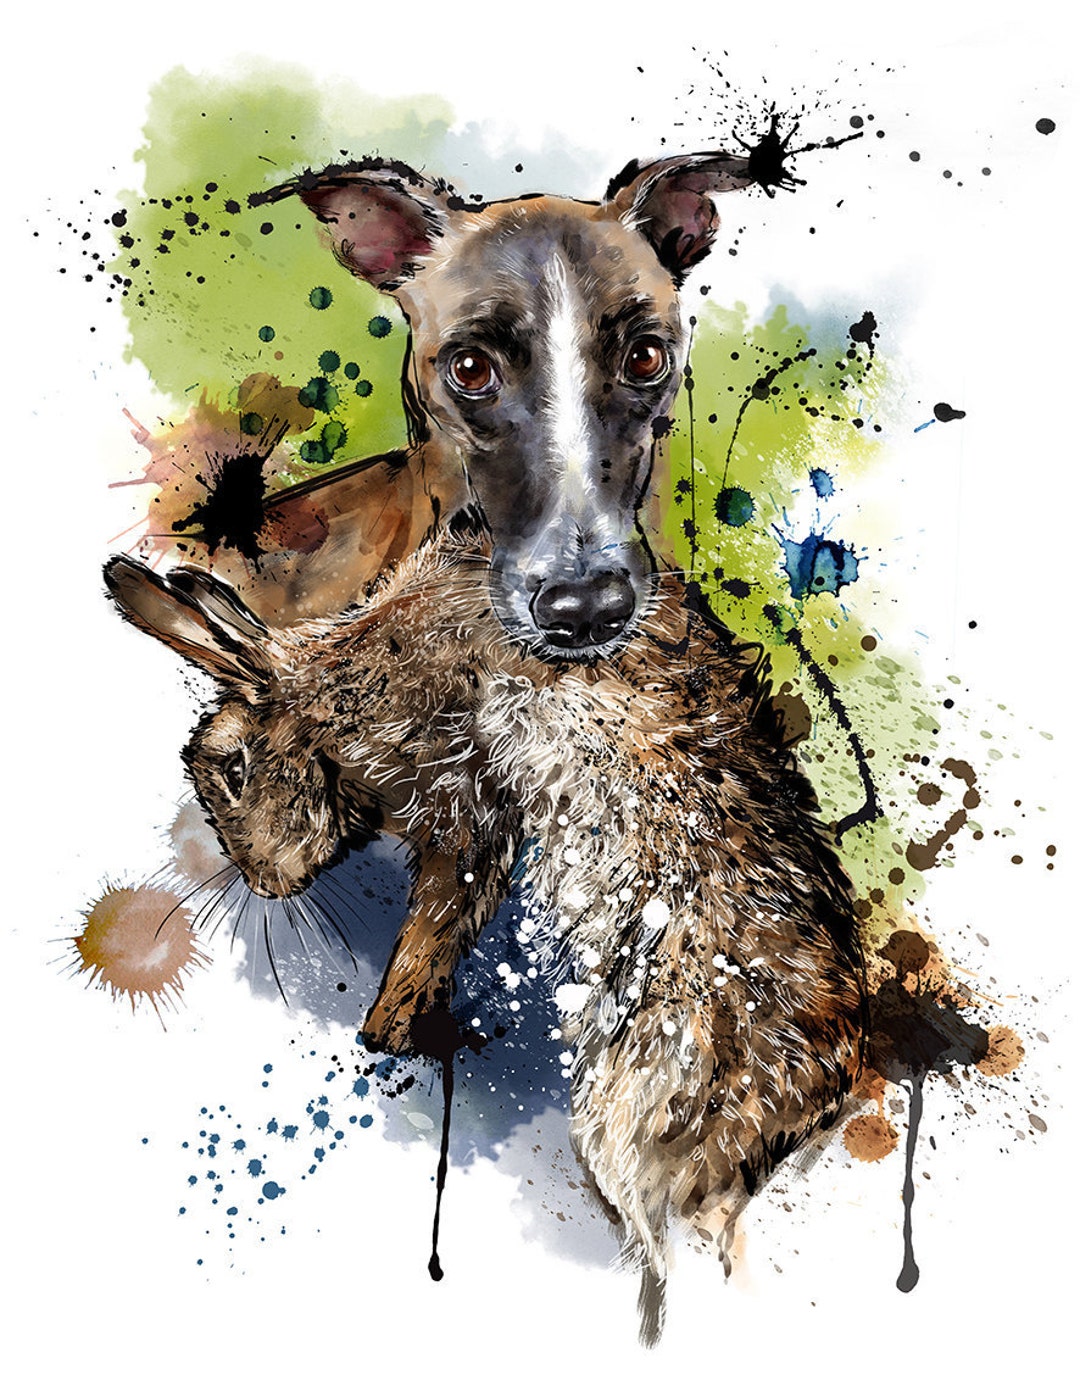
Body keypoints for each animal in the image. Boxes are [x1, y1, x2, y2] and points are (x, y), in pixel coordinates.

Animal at [105, 537, 866, 1341]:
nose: (262, 882)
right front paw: (394, 1034)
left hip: (634, 1109)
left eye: (233, 769)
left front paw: (382, 1034)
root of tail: (817, 1108)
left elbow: (432, 927)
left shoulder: (451, 784)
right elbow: (439, 933)